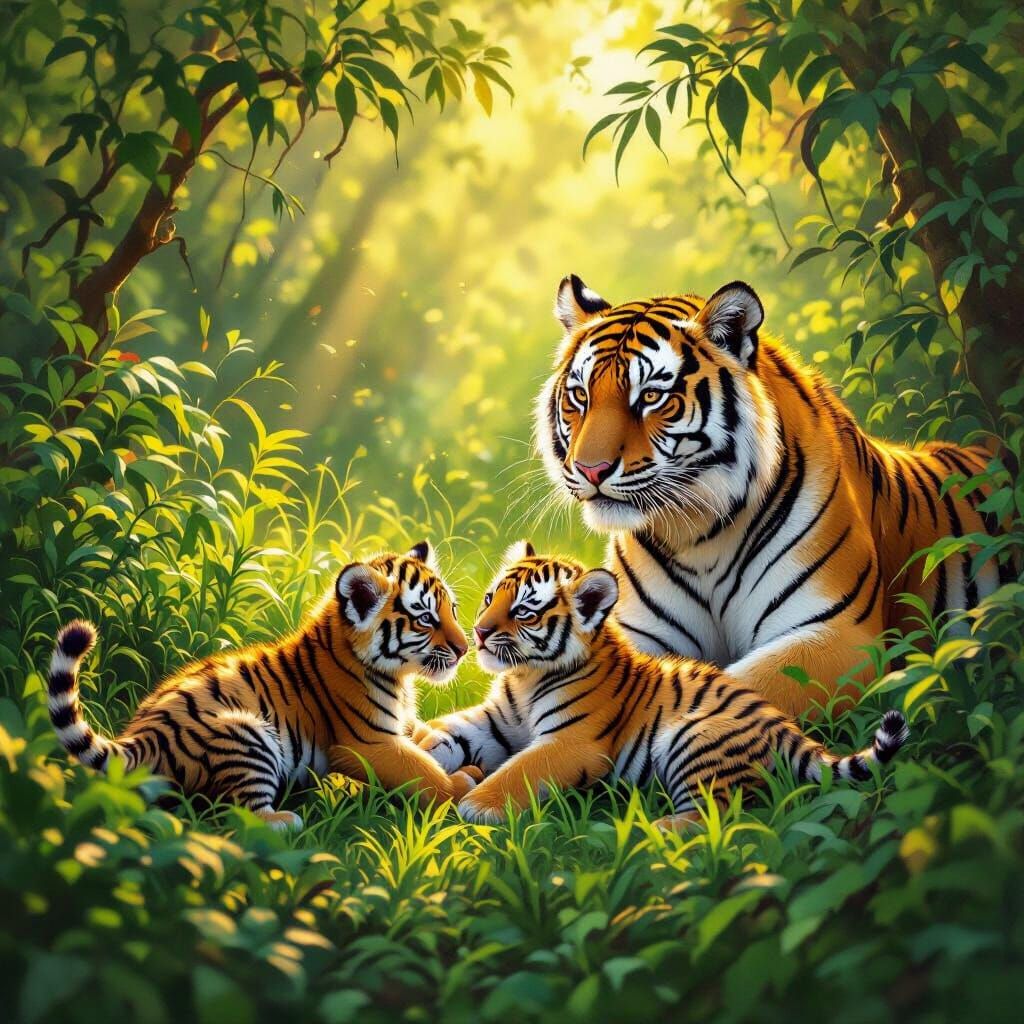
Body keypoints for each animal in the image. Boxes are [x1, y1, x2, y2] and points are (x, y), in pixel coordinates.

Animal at [47, 541, 480, 829]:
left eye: (453, 611)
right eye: (426, 619)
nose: (464, 649)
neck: (399, 676)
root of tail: (140, 739)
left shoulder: (401, 724)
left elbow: (427, 736)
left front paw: (449, 749)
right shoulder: (369, 742)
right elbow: (419, 769)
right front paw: (458, 785)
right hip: (246, 735)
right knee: (237, 816)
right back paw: (288, 818)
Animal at [419, 544, 909, 828]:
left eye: (524, 611)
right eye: (490, 598)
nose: (479, 633)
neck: (525, 676)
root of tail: (784, 728)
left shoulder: (572, 741)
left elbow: (521, 768)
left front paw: (475, 806)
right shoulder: (494, 722)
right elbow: (448, 735)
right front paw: (417, 754)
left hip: (692, 737)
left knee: (715, 813)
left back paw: (644, 831)